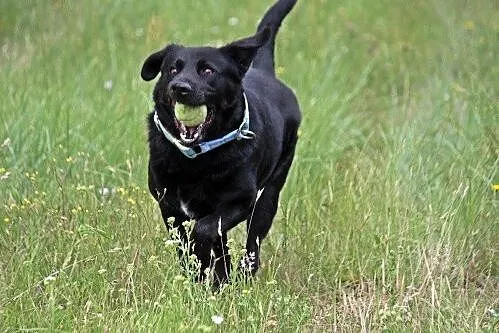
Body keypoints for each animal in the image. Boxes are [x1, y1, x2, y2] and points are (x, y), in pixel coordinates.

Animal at [141, 0, 300, 286]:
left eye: (208, 70)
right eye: (172, 69)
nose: (179, 87)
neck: (196, 158)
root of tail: (264, 71)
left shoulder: (239, 201)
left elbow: (204, 231)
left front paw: (206, 267)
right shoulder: (169, 206)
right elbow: (188, 244)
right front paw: (199, 276)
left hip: (269, 196)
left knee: (252, 242)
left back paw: (243, 275)